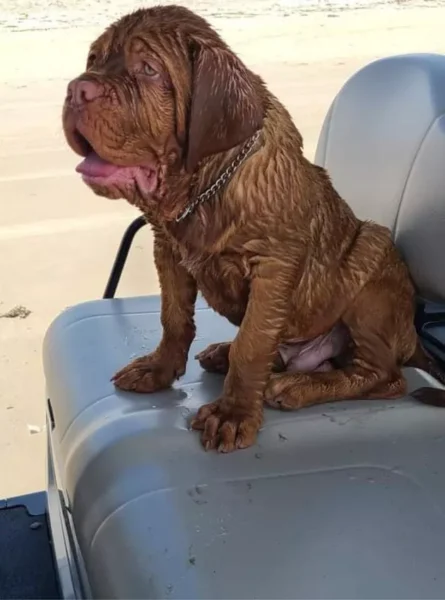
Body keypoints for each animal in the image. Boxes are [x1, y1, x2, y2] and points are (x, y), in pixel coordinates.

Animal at [62, 3, 444, 450]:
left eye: (149, 70)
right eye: (93, 60)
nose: (76, 90)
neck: (205, 187)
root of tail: (413, 339)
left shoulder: (274, 265)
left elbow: (254, 340)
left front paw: (232, 414)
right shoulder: (168, 249)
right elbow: (174, 318)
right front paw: (158, 369)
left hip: (371, 259)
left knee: (386, 377)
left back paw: (299, 386)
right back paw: (228, 355)